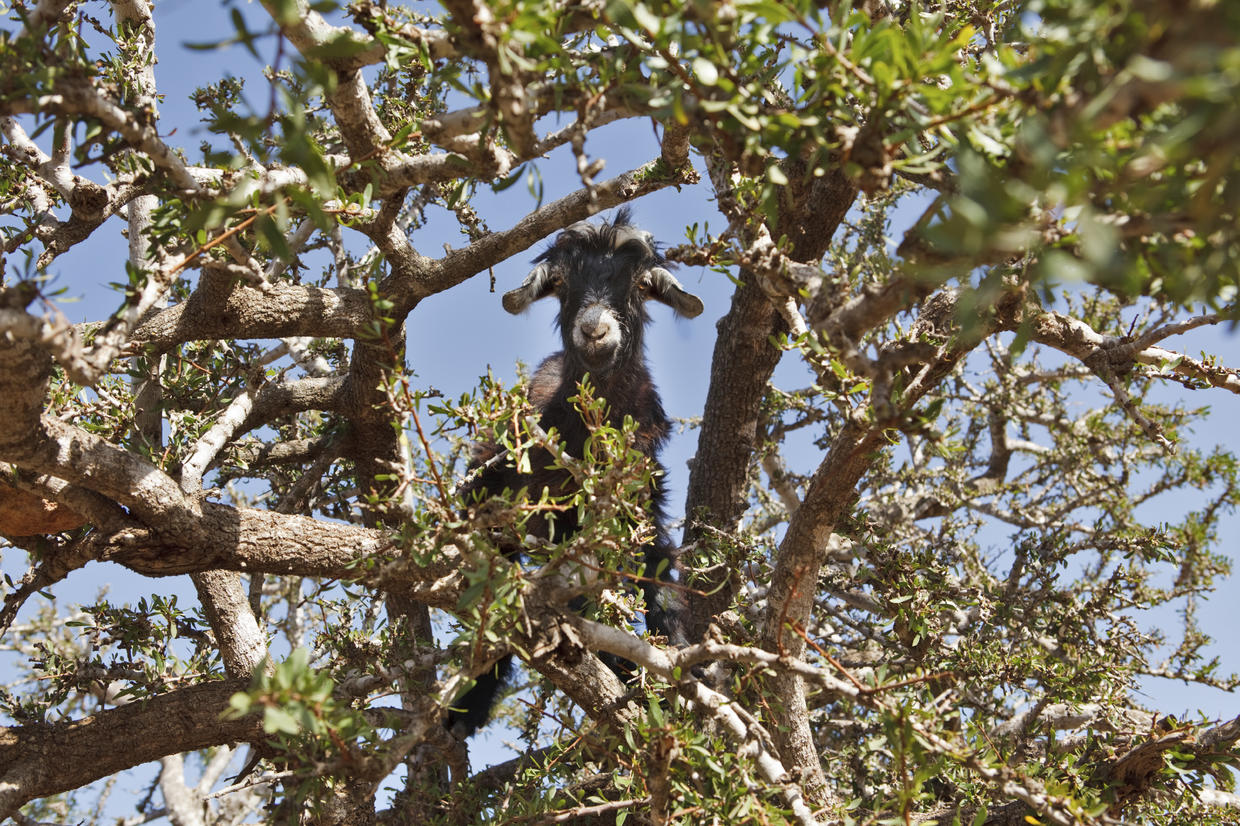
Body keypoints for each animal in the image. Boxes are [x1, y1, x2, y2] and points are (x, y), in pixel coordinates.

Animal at [448, 209, 704, 734]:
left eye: (640, 284)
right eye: (563, 283)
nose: (595, 331)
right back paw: (467, 708)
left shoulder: (641, 500)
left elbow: (659, 578)